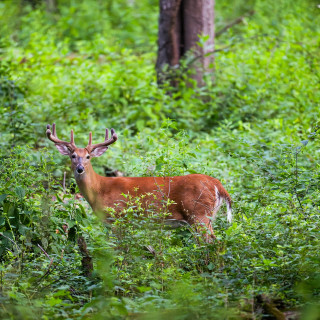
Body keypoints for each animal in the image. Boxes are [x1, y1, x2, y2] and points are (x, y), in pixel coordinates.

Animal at [46, 124, 231, 239]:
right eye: (72, 156)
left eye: (88, 157)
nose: (80, 169)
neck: (100, 189)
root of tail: (218, 185)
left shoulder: (119, 218)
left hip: (199, 214)